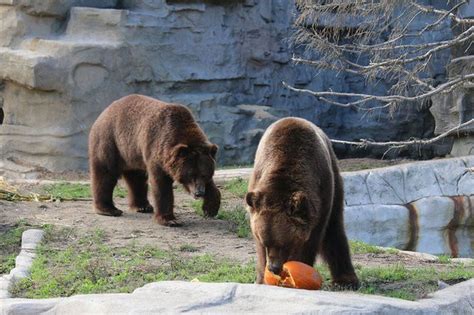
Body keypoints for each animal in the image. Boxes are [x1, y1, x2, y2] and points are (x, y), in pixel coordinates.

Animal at [88, 94, 221, 227]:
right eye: (191, 174)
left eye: (204, 174)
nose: (199, 193)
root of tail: (105, 111)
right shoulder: (157, 150)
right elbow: (161, 185)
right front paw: (169, 220)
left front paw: (210, 209)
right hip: (110, 141)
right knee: (106, 172)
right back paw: (108, 209)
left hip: (133, 153)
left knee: (136, 178)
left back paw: (142, 206)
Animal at [244, 118, 360, 288]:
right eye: (266, 243)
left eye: (284, 244)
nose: (274, 268)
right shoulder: (257, 187)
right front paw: (263, 278)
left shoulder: (321, 193)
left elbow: (311, 241)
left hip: (335, 177)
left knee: (334, 227)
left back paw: (346, 280)